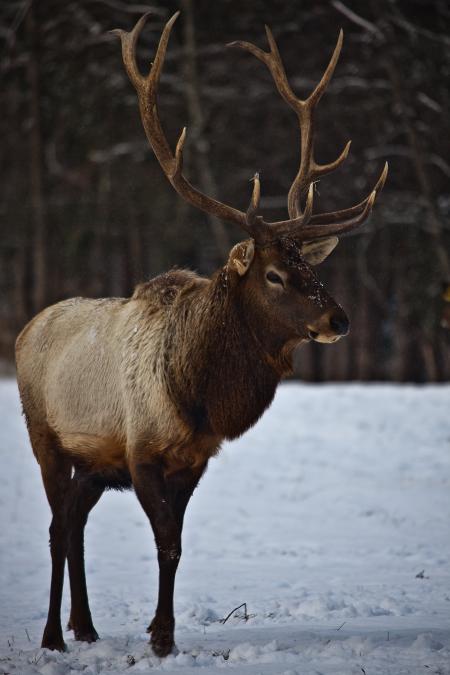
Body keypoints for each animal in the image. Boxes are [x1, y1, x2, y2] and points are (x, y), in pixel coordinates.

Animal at [14, 11, 386, 656]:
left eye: (312, 266)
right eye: (274, 272)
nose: (338, 320)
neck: (195, 395)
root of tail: (27, 327)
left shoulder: (193, 460)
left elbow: (178, 547)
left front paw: (160, 631)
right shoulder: (139, 452)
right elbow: (165, 541)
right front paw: (160, 637)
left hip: (93, 462)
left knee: (76, 523)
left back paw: (85, 626)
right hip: (46, 438)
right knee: (59, 527)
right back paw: (54, 636)